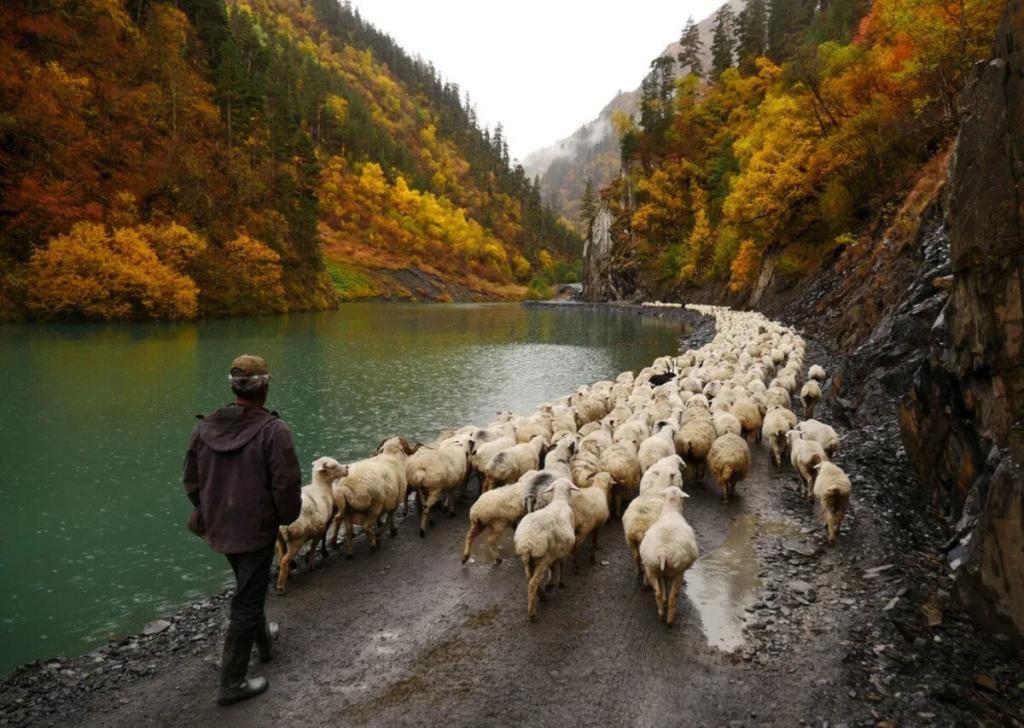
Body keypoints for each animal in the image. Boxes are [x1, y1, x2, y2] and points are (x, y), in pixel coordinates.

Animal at [276, 458, 348, 593]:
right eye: (333, 466)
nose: (347, 468)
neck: (321, 488)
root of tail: (283, 526)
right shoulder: (320, 529)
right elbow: (314, 546)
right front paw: (311, 563)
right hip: (297, 539)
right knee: (284, 559)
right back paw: (281, 586)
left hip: (280, 539)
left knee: (281, 556)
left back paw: (288, 574)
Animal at [512, 479, 577, 622]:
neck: (559, 500)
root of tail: (527, 544)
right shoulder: (563, 549)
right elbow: (562, 565)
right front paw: (560, 583)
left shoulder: (556, 550)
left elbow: (553, 567)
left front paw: (552, 581)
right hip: (543, 557)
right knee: (533, 582)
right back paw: (532, 613)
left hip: (528, 560)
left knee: (530, 579)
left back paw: (541, 595)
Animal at [634, 487, 700, 622]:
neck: (671, 511)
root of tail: (663, 552)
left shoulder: (662, 572)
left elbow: (663, 584)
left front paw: (663, 600)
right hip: (678, 571)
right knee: (673, 597)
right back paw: (670, 618)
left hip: (652, 568)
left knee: (658, 592)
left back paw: (660, 613)